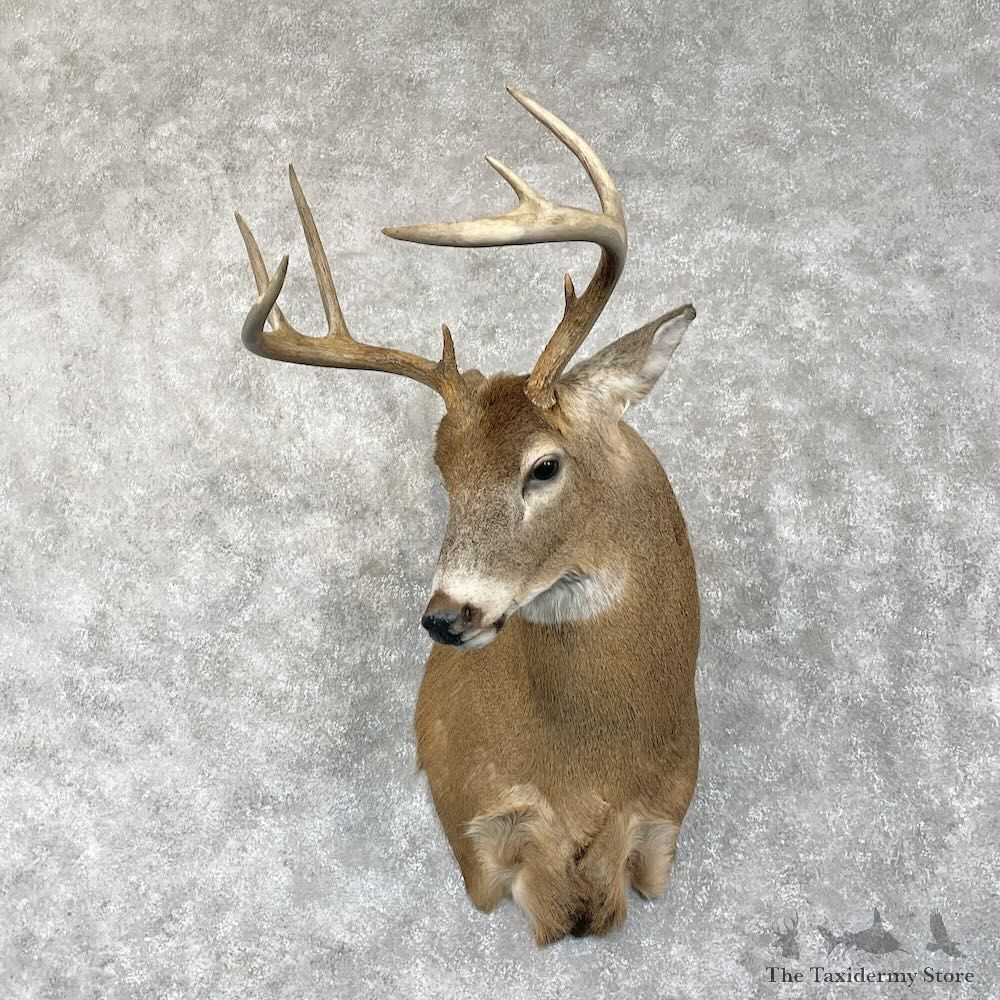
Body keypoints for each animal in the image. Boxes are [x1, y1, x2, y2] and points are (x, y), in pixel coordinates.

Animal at [234, 86, 700, 945]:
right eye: (442, 470)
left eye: (544, 465)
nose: (445, 618)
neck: (584, 769)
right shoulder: (474, 812)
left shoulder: (665, 815)